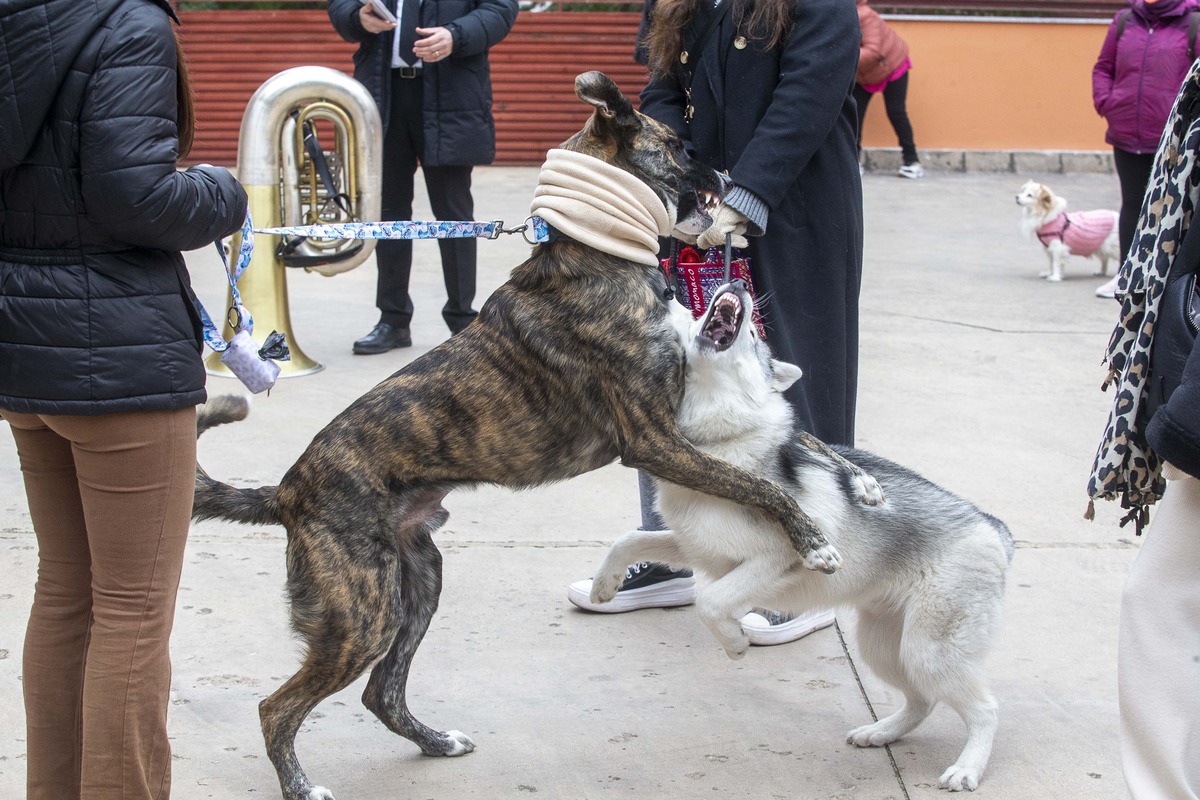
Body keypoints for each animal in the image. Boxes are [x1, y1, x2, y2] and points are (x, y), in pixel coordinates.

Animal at [194, 71, 835, 796]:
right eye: (679, 145)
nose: (728, 178)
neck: (600, 252)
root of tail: (287, 491)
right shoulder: (655, 438)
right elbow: (756, 484)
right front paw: (813, 540)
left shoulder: (683, 421)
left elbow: (802, 442)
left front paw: (861, 485)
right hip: (362, 612)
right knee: (277, 706)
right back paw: (304, 785)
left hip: (417, 583)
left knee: (381, 691)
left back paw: (436, 741)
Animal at [588, 283, 1012, 796]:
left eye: (754, 336)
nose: (736, 285)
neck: (718, 443)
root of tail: (989, 525)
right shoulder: (696, 548)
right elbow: (630, 540)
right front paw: (605, 585)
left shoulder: (774, 560)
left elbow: (710, 603)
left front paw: (734, 643)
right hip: (883, 644)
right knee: (922, 700)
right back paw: (881, 732)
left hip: (928, 650)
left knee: (985, 709)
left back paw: (967, 767)